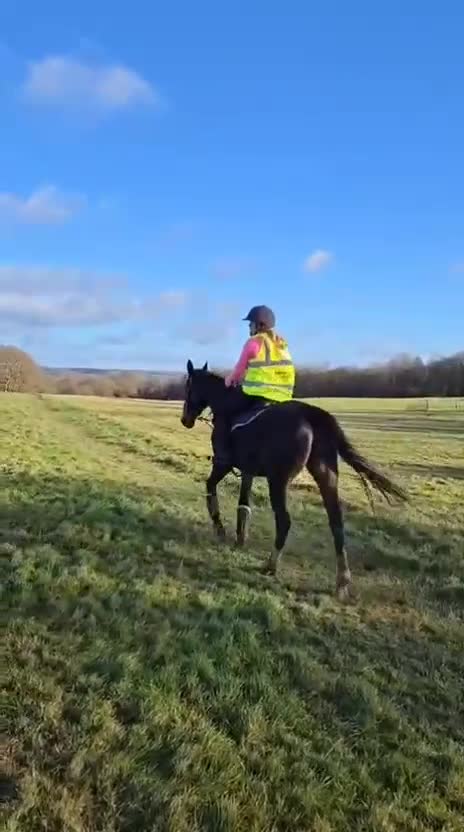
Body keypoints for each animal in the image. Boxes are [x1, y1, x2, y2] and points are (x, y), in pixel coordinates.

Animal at [180, 361, 407, 599]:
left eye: (188, 386)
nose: (185, 420)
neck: (229, 407)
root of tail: (311, 415)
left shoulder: (223, 464)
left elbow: (211, 488)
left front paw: (220, 528)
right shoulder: (247, 471)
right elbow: (244, 505)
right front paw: (240, 537)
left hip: (278, 481)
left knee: (284, 520)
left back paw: (271, 565)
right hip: (326, 477)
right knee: (336, 522)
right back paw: (342, 581)